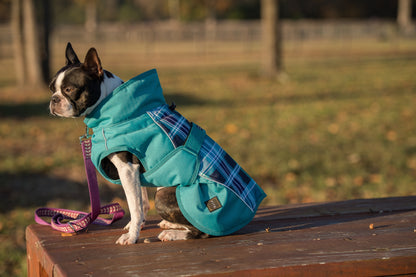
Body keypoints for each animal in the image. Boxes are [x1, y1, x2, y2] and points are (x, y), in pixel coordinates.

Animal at [48, 42, 264, 244]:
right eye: (52, 88)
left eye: (69, 89)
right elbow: (140, 203)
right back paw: (171, 224)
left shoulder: (127, 169)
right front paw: (136, 227)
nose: (53, 100)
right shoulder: (136, 171)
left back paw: (174, 233)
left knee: (202, 231)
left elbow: (134, 206)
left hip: (168, 196)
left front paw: (132, 237)